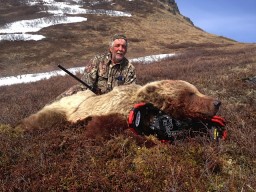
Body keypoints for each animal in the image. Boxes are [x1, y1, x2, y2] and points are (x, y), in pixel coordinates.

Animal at [20, 79, 221, 132]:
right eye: (190, 93)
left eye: (197, 90)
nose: (217, 102)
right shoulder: (118, 111)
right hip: (63, 107)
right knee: (42, 118)